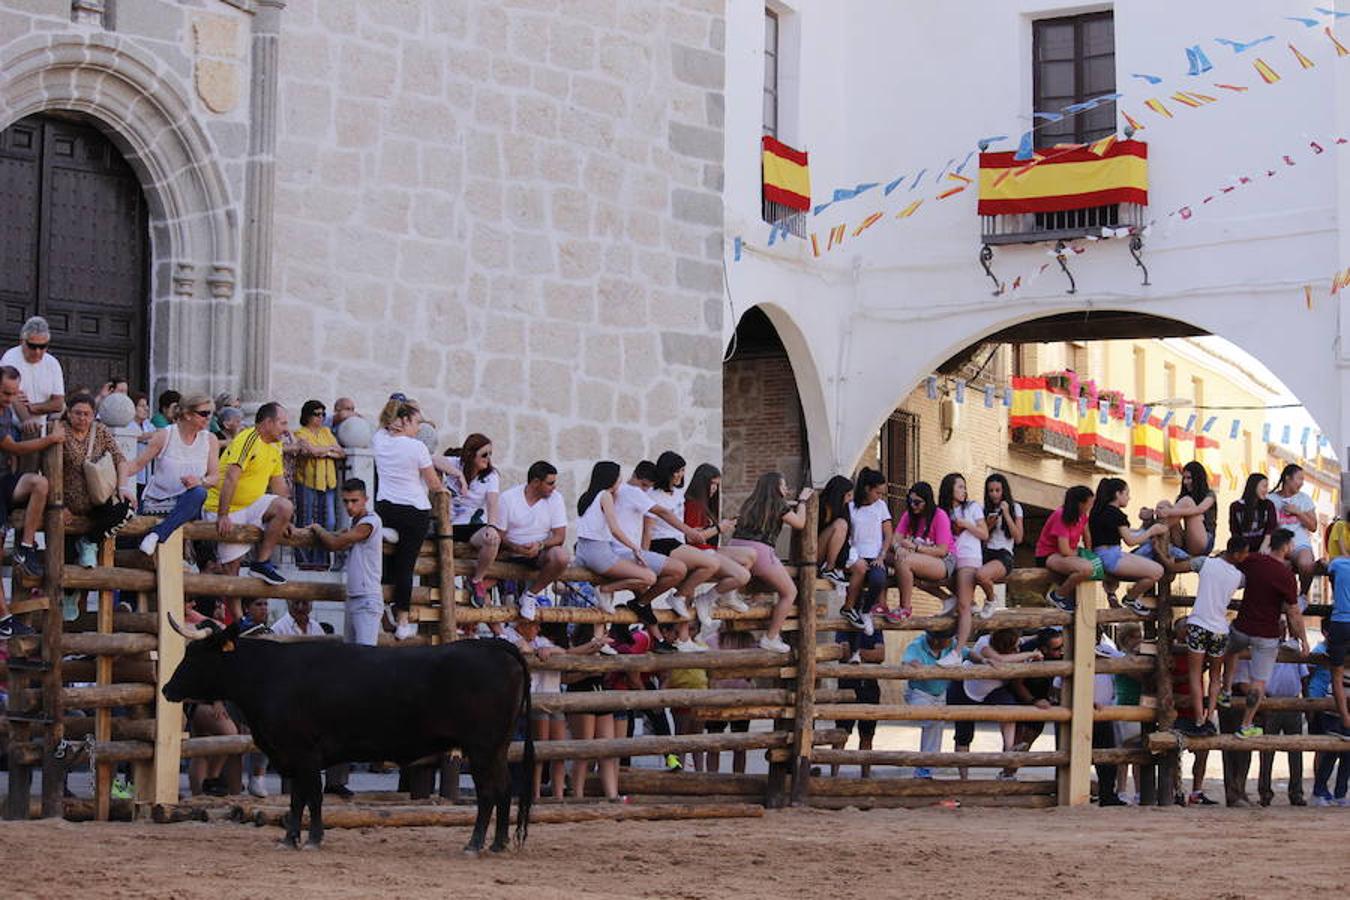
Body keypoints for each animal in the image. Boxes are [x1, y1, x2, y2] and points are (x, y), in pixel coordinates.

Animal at [163, 623, 531, 858]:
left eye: (196, 655)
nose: (167, 689)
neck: (269, 673)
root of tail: (492, 644)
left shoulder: (304, 753)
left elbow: (311, 797)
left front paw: (312, 838)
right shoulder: (294, 757)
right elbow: (298, 799)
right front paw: (290, 839)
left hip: (481, 749)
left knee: (488, 793)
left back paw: (474, 844)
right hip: (497, 749)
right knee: (505, 789)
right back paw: (498, 844)